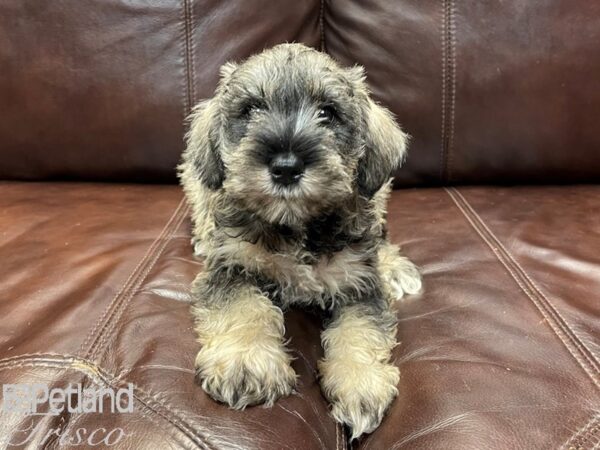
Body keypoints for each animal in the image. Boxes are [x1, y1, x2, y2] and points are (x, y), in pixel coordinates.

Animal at [178, 43, 422, 440]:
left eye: (328, 113)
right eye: (251, 110)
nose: (286, 167)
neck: (295, 226)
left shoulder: (359, 282)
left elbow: (361, 329)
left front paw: (361, 382)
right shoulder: (231, 268)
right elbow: (244, 308)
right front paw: (245, 363)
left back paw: (396, 269)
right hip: (195, 177)